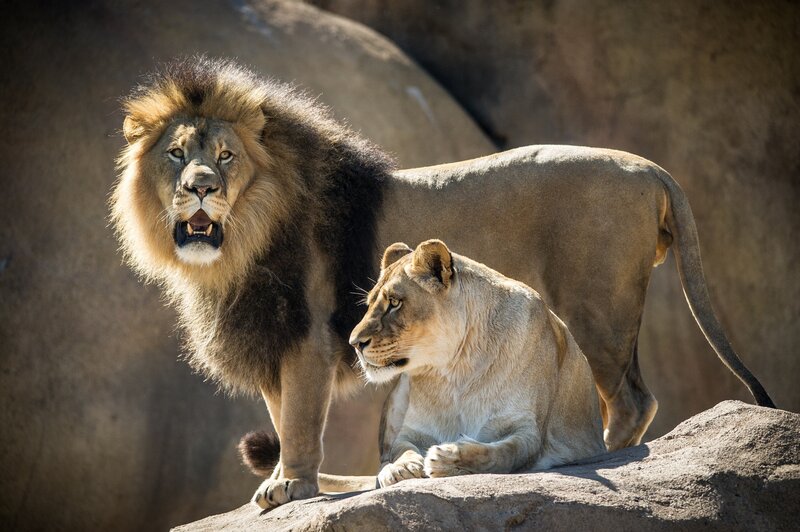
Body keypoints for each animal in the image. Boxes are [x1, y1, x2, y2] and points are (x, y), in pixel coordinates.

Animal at [111, 56, 774, 508]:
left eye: (225, 156)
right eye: (176, 153)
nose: (201, 187)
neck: (240, 242)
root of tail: (650, 167)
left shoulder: (305, 337)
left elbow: (297, 420)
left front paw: (289, 486)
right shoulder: (272, 338)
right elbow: (280, 415)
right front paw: (284, 480)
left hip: (597, 308)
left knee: (630, 398)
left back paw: (596, 455)